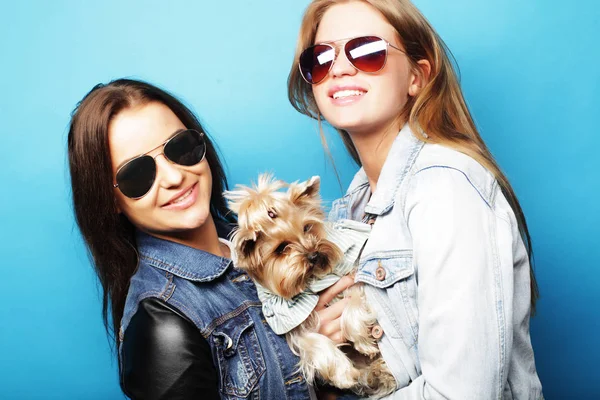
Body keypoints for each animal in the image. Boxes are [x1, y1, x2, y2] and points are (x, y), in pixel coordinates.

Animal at [223, 174, 396, 396]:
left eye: (307, 228)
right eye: (281, 248)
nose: (314, 254)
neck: (311, 280)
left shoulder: (351, 281)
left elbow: (353, 304)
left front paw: (363, 341)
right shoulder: (294, 323)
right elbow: (313, 342)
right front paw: (343, 374)